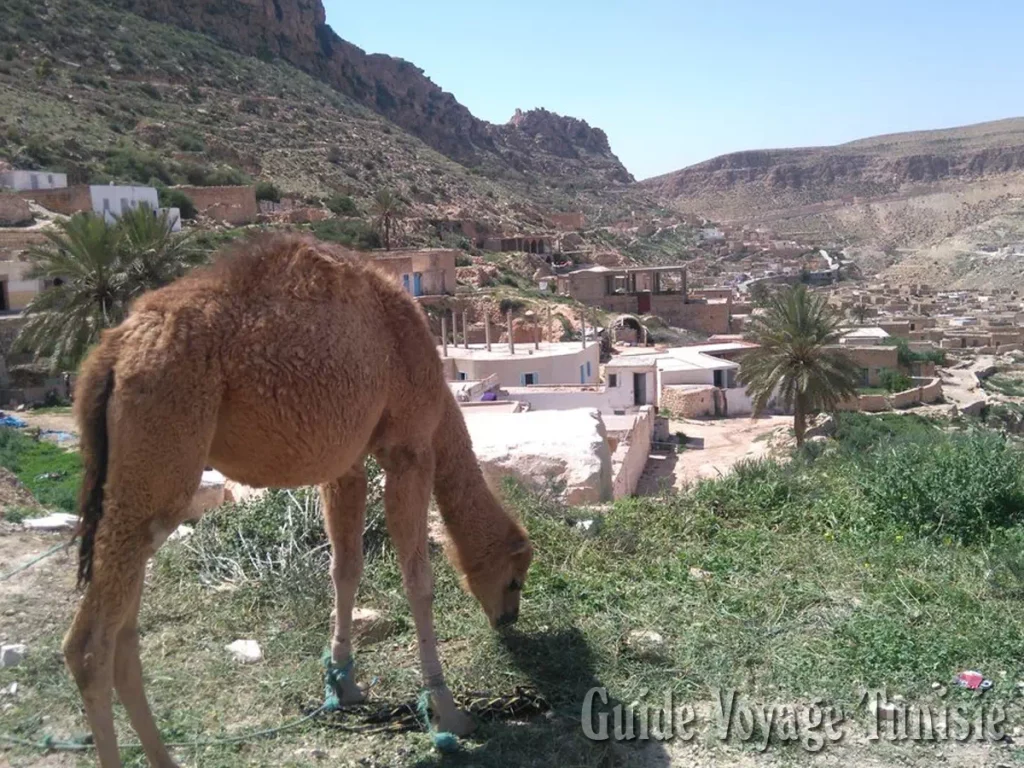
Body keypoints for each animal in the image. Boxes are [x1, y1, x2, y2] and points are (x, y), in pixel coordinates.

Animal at [65, 234, 532, 768]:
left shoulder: (346, 465)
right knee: (90, 647)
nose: (508, 619)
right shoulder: (409, 449)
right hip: (159, 448)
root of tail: (111, 353)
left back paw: (165, 757)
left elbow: (345, 567)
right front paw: (448, 712)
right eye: (515, 579)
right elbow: (419, 581)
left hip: (139, 482)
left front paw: (343, 685)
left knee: (124, 631)